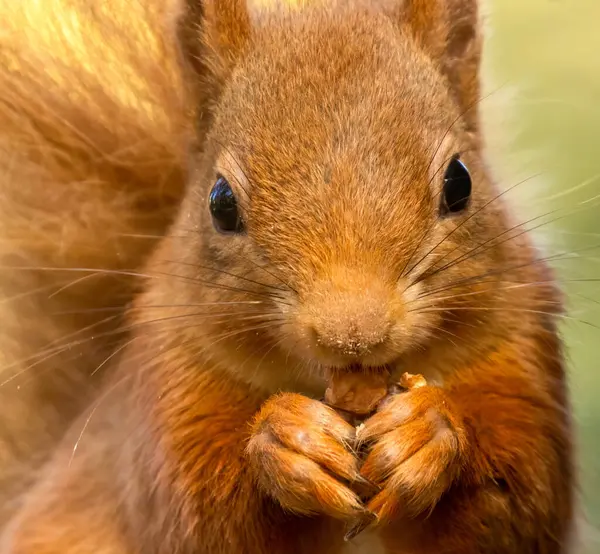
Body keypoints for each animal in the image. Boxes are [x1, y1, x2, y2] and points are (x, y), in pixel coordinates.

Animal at [0, 1, 576, 552]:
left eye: (460, 182)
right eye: (220, 203)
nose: (354, 336)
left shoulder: (519, 349)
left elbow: (517, 501)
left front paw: (427, 431)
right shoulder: (169, 385)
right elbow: (205, 517)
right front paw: (286, 440)